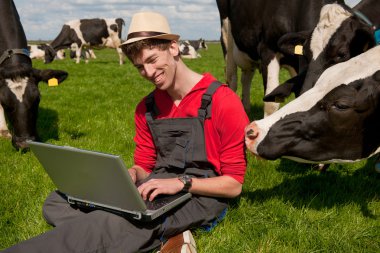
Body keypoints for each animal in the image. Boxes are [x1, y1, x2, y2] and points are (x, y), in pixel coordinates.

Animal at [215, 0, 346, 116]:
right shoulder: (268, 50)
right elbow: (271, 104)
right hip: (226, 34)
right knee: (232, 79)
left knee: (246, 77)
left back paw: (245, 110)